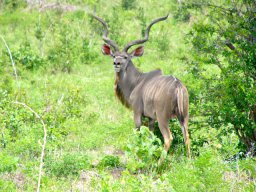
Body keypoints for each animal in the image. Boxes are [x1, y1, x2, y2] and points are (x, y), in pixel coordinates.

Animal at [93, 13, 191, 158]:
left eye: (125, 57)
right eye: (114, 56)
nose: (116, 63)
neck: (137, 81)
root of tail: (177, 86)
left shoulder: (137, 112)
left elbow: (138, 133)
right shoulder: (151, 118)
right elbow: (150, 136)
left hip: (163, 117)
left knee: (168, 138)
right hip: (183, 116)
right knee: (187, 137)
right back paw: (189, 161)